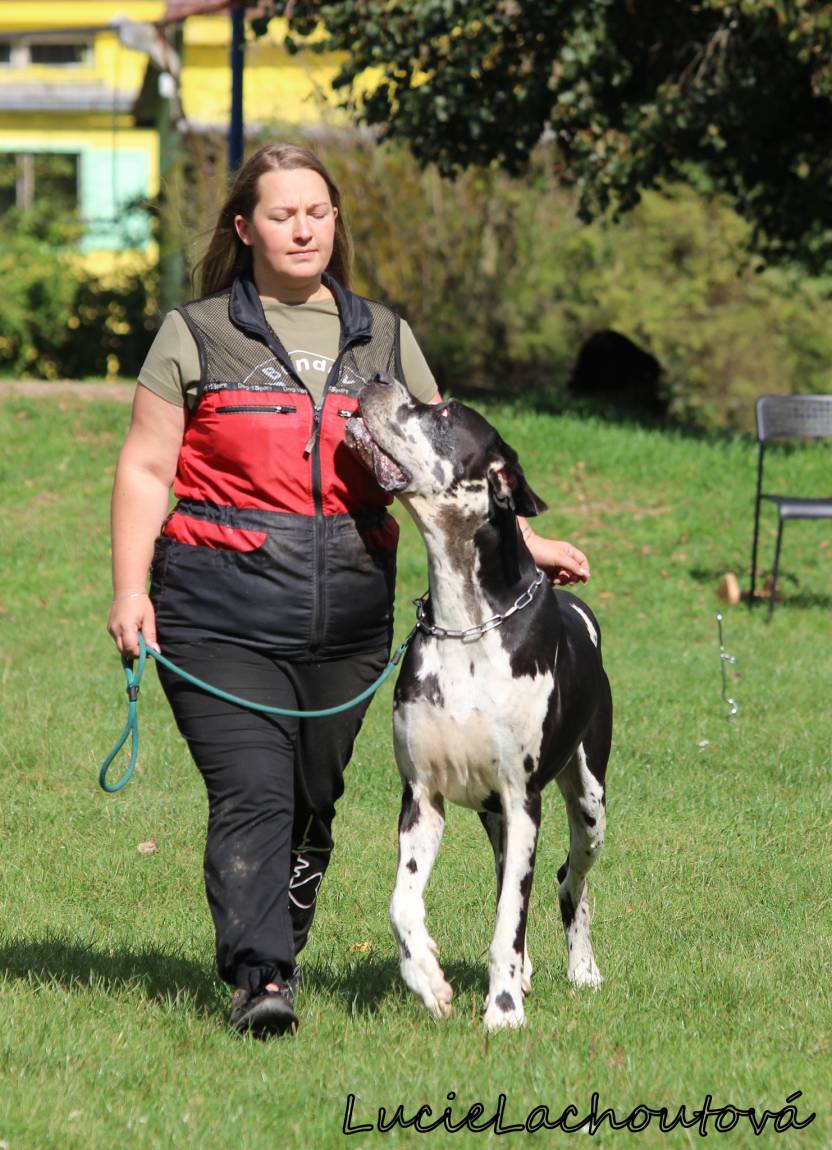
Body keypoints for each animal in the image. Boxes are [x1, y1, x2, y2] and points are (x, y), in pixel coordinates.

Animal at [345, 379, 612, 1035]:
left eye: (441, 412)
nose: (377, 381)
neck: (466, 623)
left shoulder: (523, 800)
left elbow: (509, 920)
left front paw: (504, 1009)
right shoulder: (421, 796)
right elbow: (403, 903)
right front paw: (427, 979)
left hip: (588, 804)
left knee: (569, 881)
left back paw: (582, 970)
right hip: (496, 819)